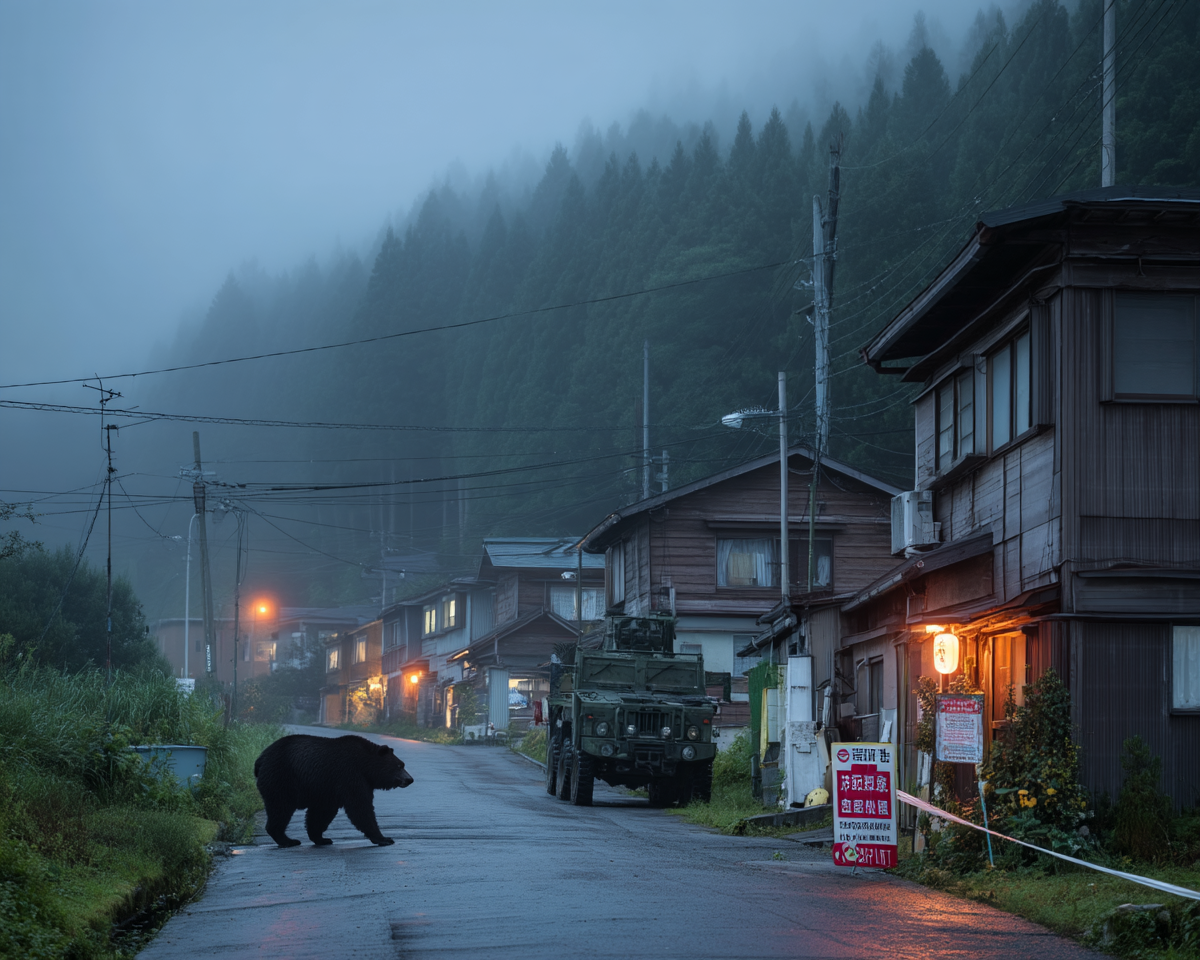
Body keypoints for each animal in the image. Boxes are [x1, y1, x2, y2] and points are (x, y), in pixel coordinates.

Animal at [253, 734, 413, 848]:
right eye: (399, 765)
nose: (409, 779)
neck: (366, 766)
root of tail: (260, 759)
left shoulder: (326, 788)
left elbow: (321, 813)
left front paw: (321, 838)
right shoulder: (349, 774)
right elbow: (360, 807)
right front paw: (384, 838)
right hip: (281, 778)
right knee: (280, 808)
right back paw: (288, 840)